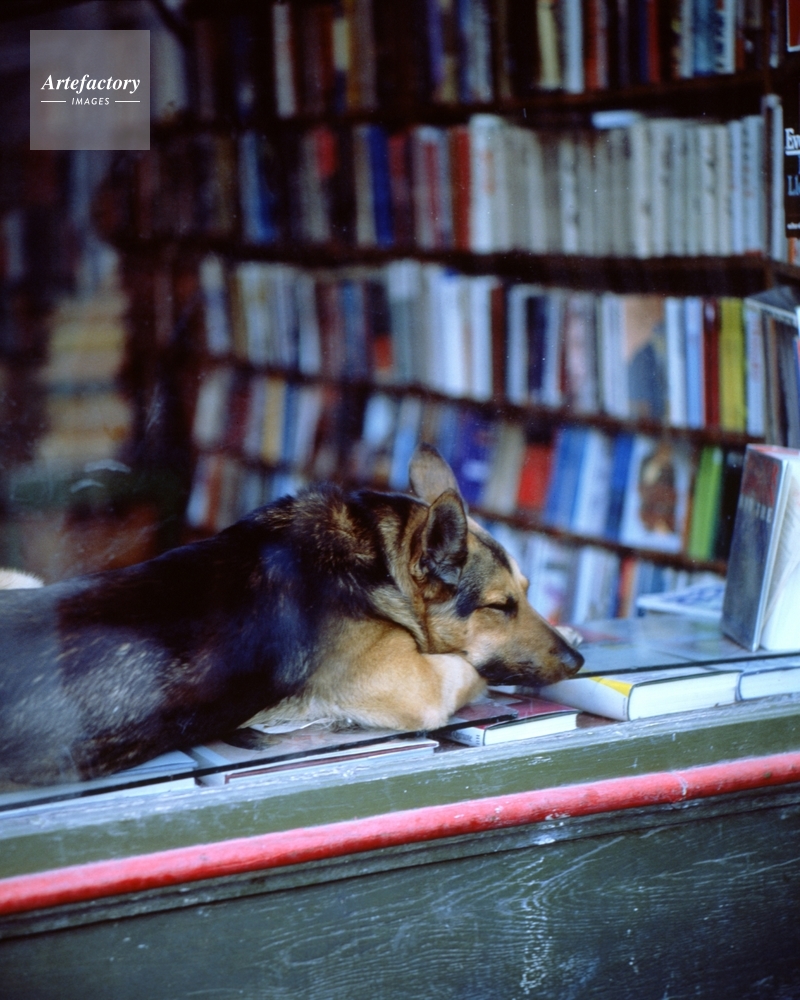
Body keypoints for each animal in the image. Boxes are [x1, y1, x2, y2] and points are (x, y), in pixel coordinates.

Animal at [0, 445, 583, 786]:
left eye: (527, 593)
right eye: (499, 607)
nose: (578, 662)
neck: (380, 560)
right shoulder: (419, 685)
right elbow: (471, 668)